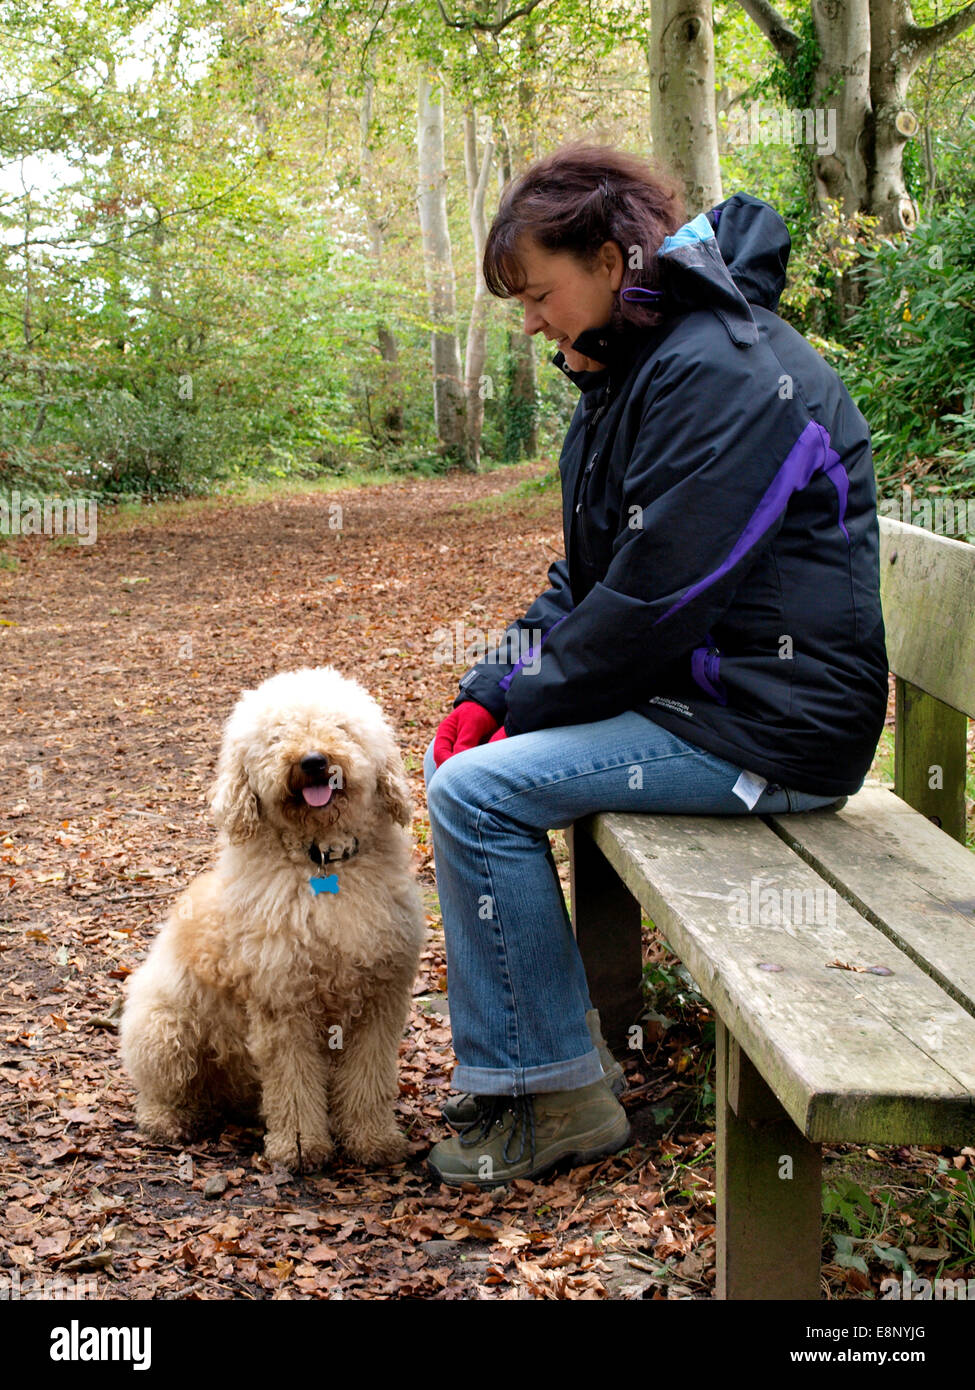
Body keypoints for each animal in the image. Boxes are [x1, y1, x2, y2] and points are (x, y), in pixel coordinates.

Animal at [119, 667, 422, 1167]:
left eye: (341, 727)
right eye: (276, 735)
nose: (314, 761)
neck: (322, 863)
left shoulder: (379, 999)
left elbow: (368, 1078)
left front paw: (372, 1140)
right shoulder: (283, 1002)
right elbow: (294, 1083)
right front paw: (300, 1147)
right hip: (164, 1028)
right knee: (161, 1090)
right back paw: (169, 1120)